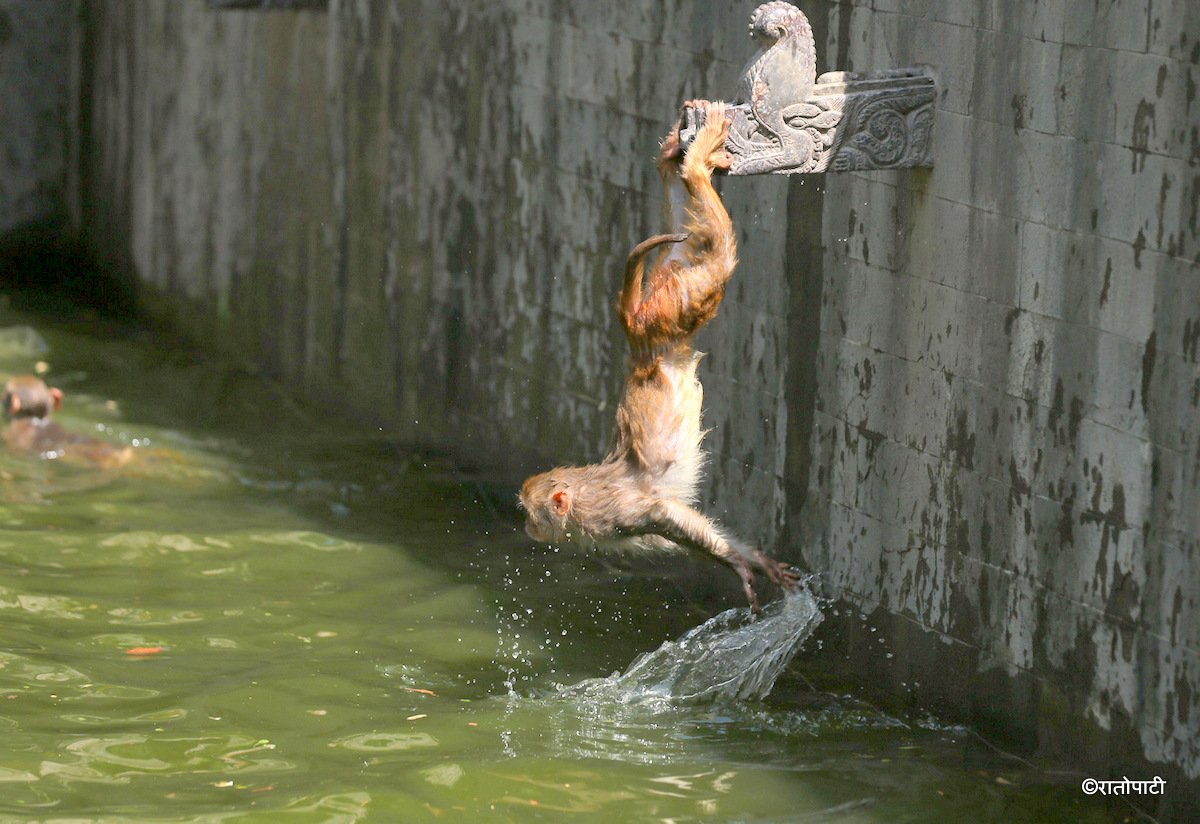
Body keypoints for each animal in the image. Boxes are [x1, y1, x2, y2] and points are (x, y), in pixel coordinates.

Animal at [519, 100, 800, 612]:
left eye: (531, 512)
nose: (527, 527)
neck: (585, 495)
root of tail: (635, 329)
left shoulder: (615, 514)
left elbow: (667, 516)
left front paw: (739, 564)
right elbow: (678, 528)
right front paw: (755, 560)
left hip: (678, 300)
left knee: (716, 246)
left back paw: (693, 166)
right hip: (671, 275)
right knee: (687, 230)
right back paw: (674, 160)